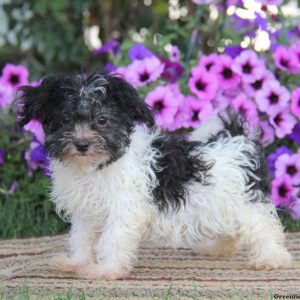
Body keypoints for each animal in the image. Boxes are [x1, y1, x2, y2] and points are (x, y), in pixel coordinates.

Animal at [18, 72, 290, 278]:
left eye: (103, 120)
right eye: (65, 119)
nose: (82, 145)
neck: (98, 166)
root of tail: (237, 139)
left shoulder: (124, 208)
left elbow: (113, 239)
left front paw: (106, 270)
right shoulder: (85, 211)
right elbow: (81, 238)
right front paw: (77, 262)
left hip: (245, 202)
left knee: (263, 226)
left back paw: (271, 258)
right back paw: (219, 248)